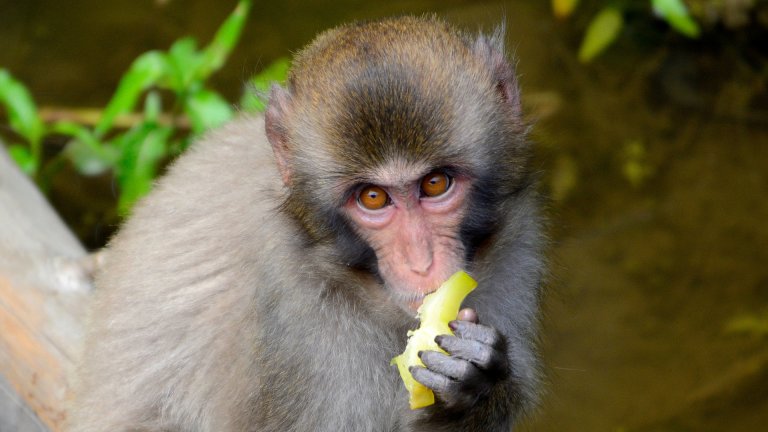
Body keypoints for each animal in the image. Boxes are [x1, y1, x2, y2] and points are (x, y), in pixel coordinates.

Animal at [69, 16, 545, 432]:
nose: (421, 262)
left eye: (435, 183)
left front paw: (475, 388)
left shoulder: (515, 247)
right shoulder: (297, 321)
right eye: (373, 198)